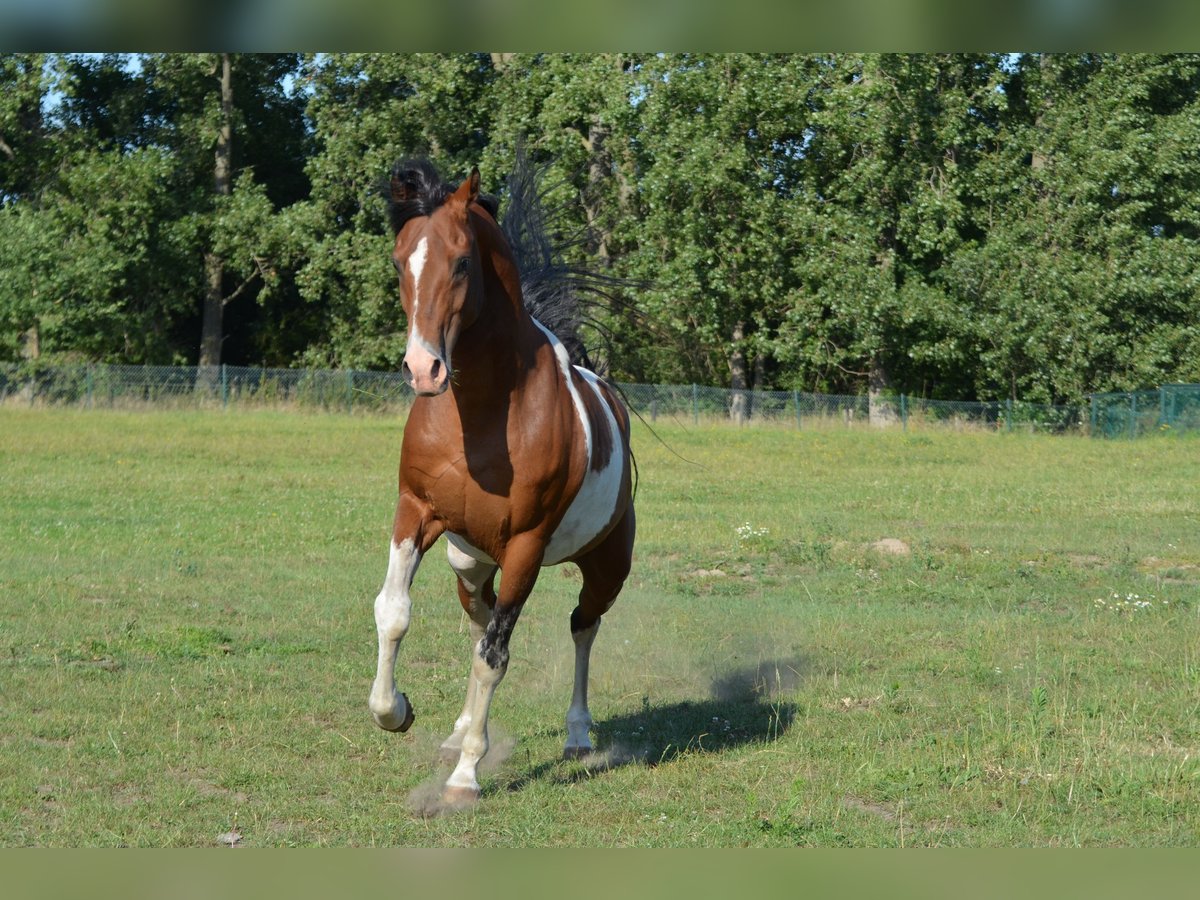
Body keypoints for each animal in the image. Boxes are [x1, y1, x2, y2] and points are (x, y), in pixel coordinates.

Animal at [367, 158, 638, 806]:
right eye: (399, 261)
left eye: (462, 261)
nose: (423, 369)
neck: (485, 411)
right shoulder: (414, 511)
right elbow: (394, 612)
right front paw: (397, 711)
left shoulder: (526, 547)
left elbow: (495, 655)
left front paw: (465, 778)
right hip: (468, 562)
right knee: (478, 617)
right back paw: (458, 730)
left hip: (607, 566)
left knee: (582, 626)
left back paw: (578, 735)